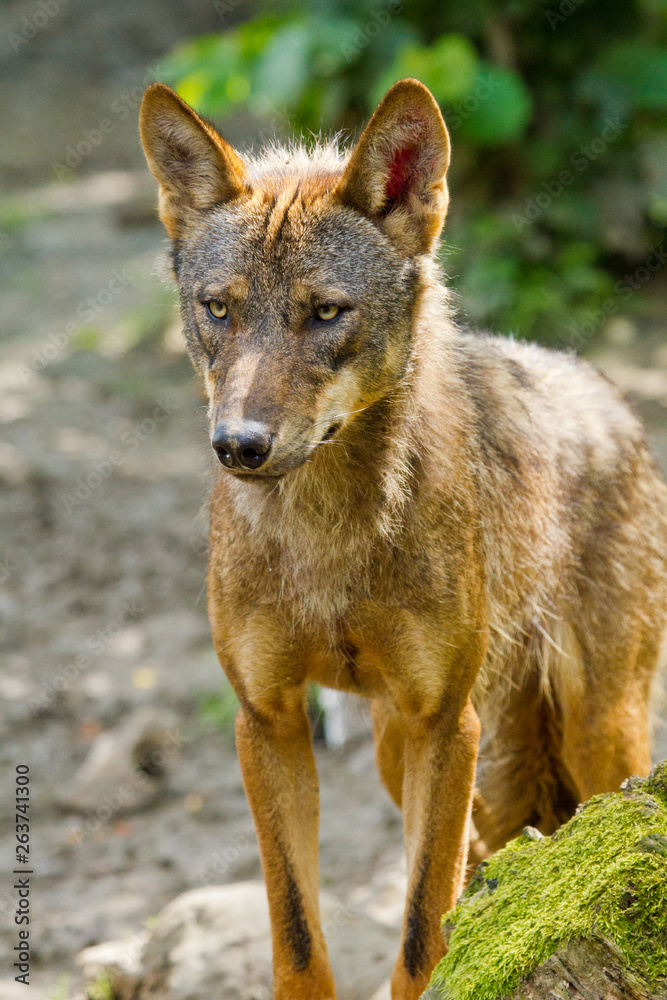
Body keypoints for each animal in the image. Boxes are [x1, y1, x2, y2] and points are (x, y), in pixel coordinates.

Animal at [139, 77, 667, 999]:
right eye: (218, 310)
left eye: (325, 313)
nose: (238, 444)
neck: (328, 539)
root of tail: (610, 397)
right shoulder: (267, 721)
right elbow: (297, 935)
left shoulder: (443, 722)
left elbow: (422, 932)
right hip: (411, 754)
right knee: (493, 854)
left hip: (592, 736)